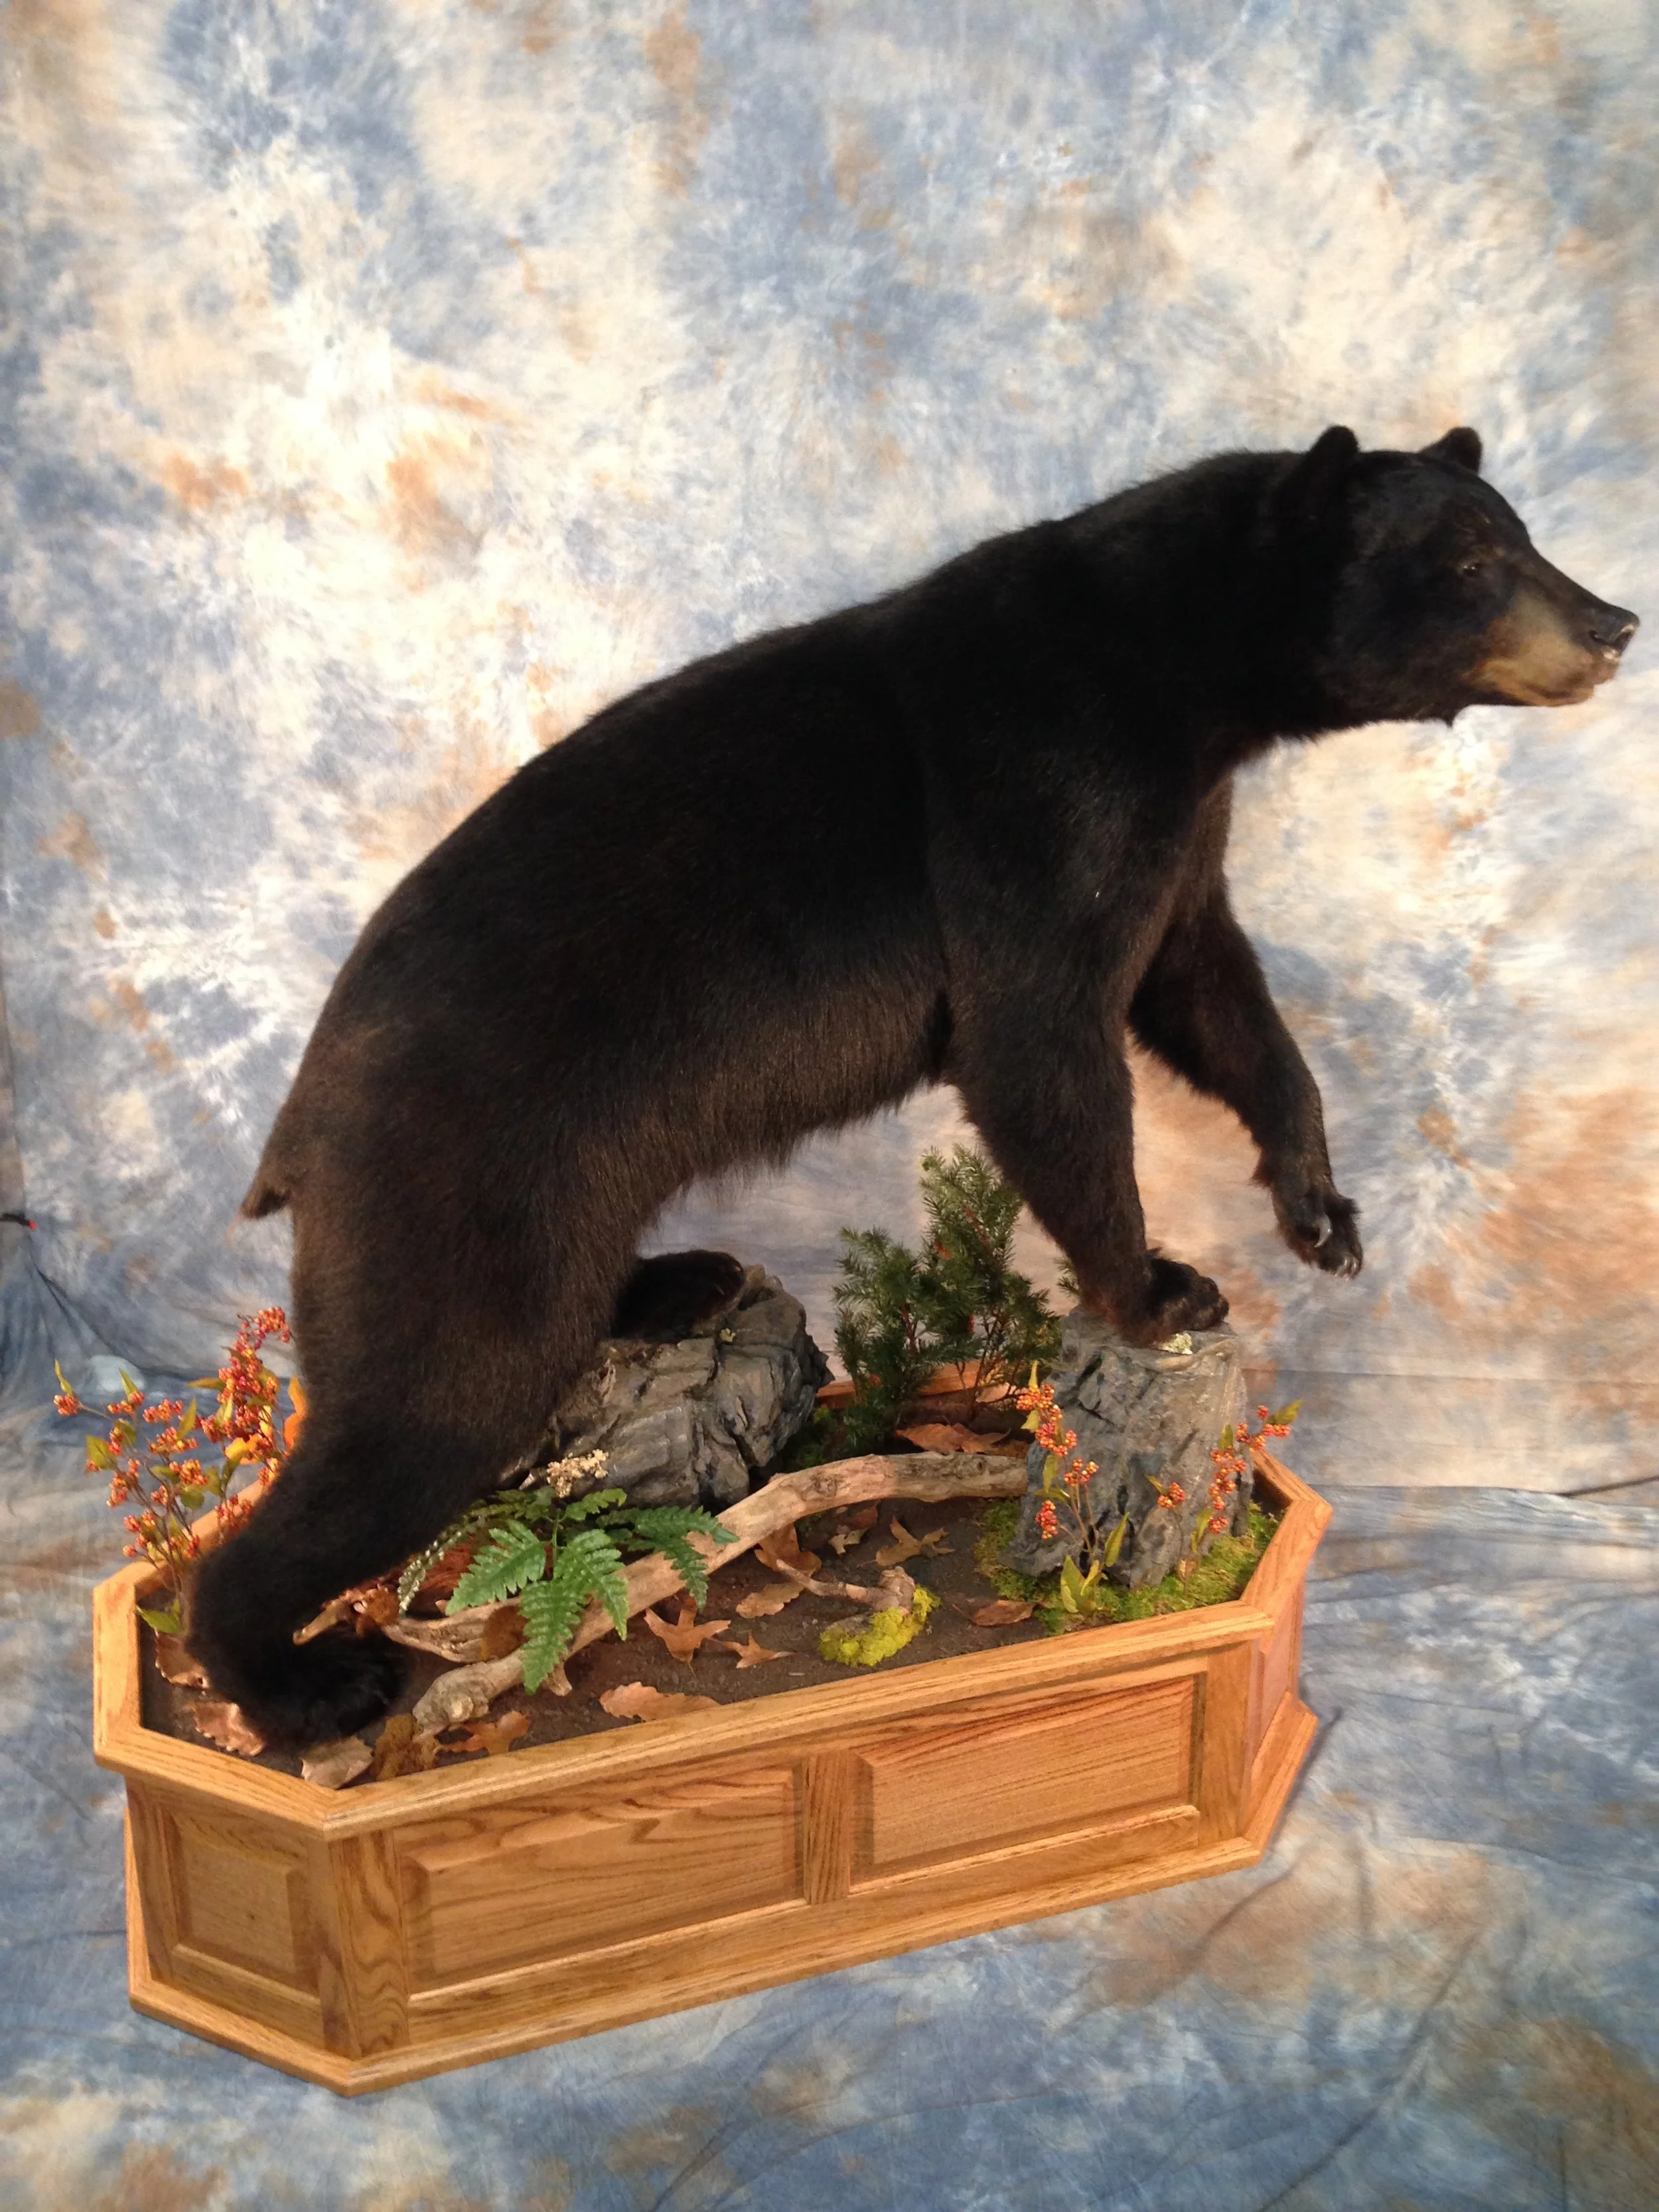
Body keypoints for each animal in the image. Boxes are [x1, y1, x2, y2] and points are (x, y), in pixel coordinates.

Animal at [188, 423, 1637, 1741]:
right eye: (1470, 560)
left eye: (1518, 534)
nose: (1617, 621)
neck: (1182, 669)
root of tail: (294, 1129)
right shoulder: (1043, 797)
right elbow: (1041, 1042)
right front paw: (1156, 1285)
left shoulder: (1179, 827)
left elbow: (1211, 992)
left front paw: (1316, 1207)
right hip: (454, 1175)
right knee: (430, 1401)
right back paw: (302, 1681)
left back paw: (680, 1280)